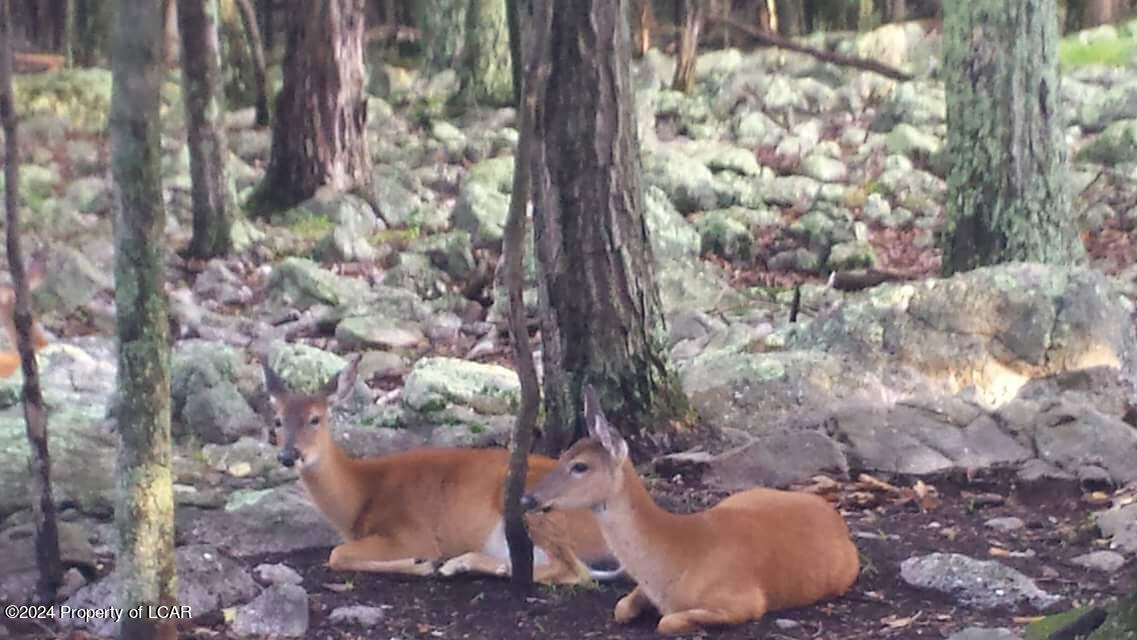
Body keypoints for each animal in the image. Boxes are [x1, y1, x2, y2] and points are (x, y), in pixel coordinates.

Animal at [260, 354, 623, 586]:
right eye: (277, 420)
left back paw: (463, 565)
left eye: (315, 419)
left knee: (574, 571)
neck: (361, 495)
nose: (289, 455)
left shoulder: (409, 532)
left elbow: (336, 554)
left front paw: (421, 564)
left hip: (542, 508)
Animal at [520, 386, 855, 636]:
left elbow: (666, 622)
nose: (527, 498)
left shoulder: (745, 601)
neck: (678, 557)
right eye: (563, 455)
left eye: (580, 466)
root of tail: (834, 515)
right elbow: (621, 608)